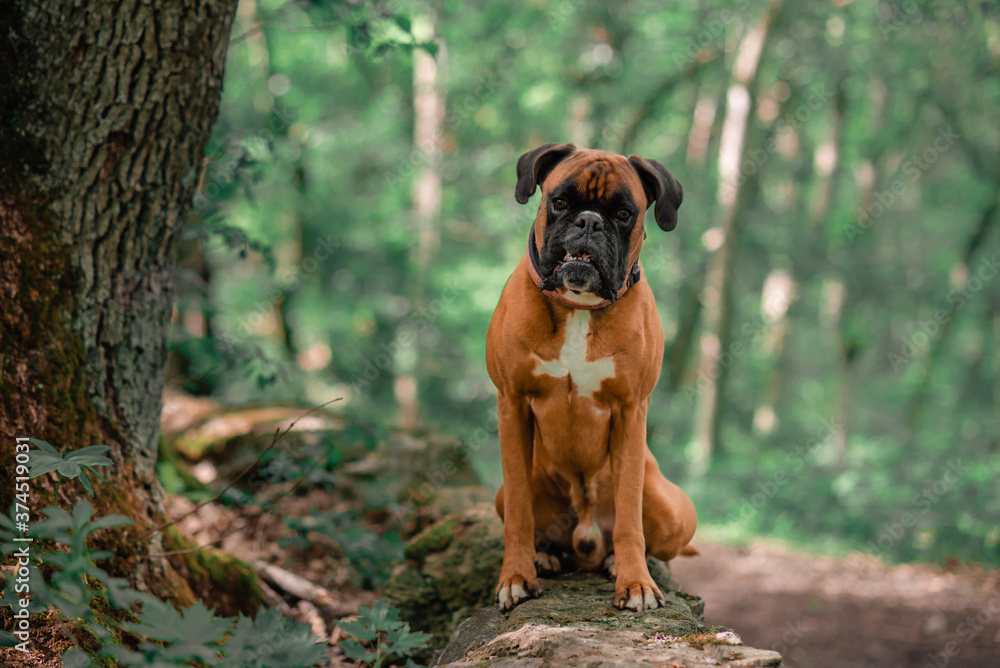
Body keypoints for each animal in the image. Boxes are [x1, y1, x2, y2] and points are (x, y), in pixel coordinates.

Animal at [490, 142, 696, 612]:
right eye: (560, 201)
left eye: (623, 213)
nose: (589, 221)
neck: (579, 308)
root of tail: (585, 539)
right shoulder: (512, 404)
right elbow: (520, 512)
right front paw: (516, 576)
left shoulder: (631, 411)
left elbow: (629, 517)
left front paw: (636, 583)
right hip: (502, 495)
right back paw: (545, 557)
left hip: (672, 511)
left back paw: (617, 562)